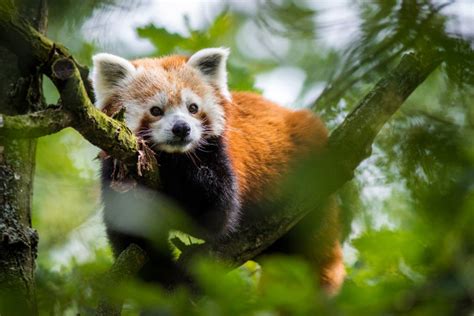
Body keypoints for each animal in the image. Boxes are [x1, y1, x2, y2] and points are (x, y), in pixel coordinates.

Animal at [92, 47, 344, 294]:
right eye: (156, 110)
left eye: (193, 108)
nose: (181, 128)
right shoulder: (116, 175)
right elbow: (134, 238)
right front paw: (163, 279)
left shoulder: (219, 156)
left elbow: (215, 213)